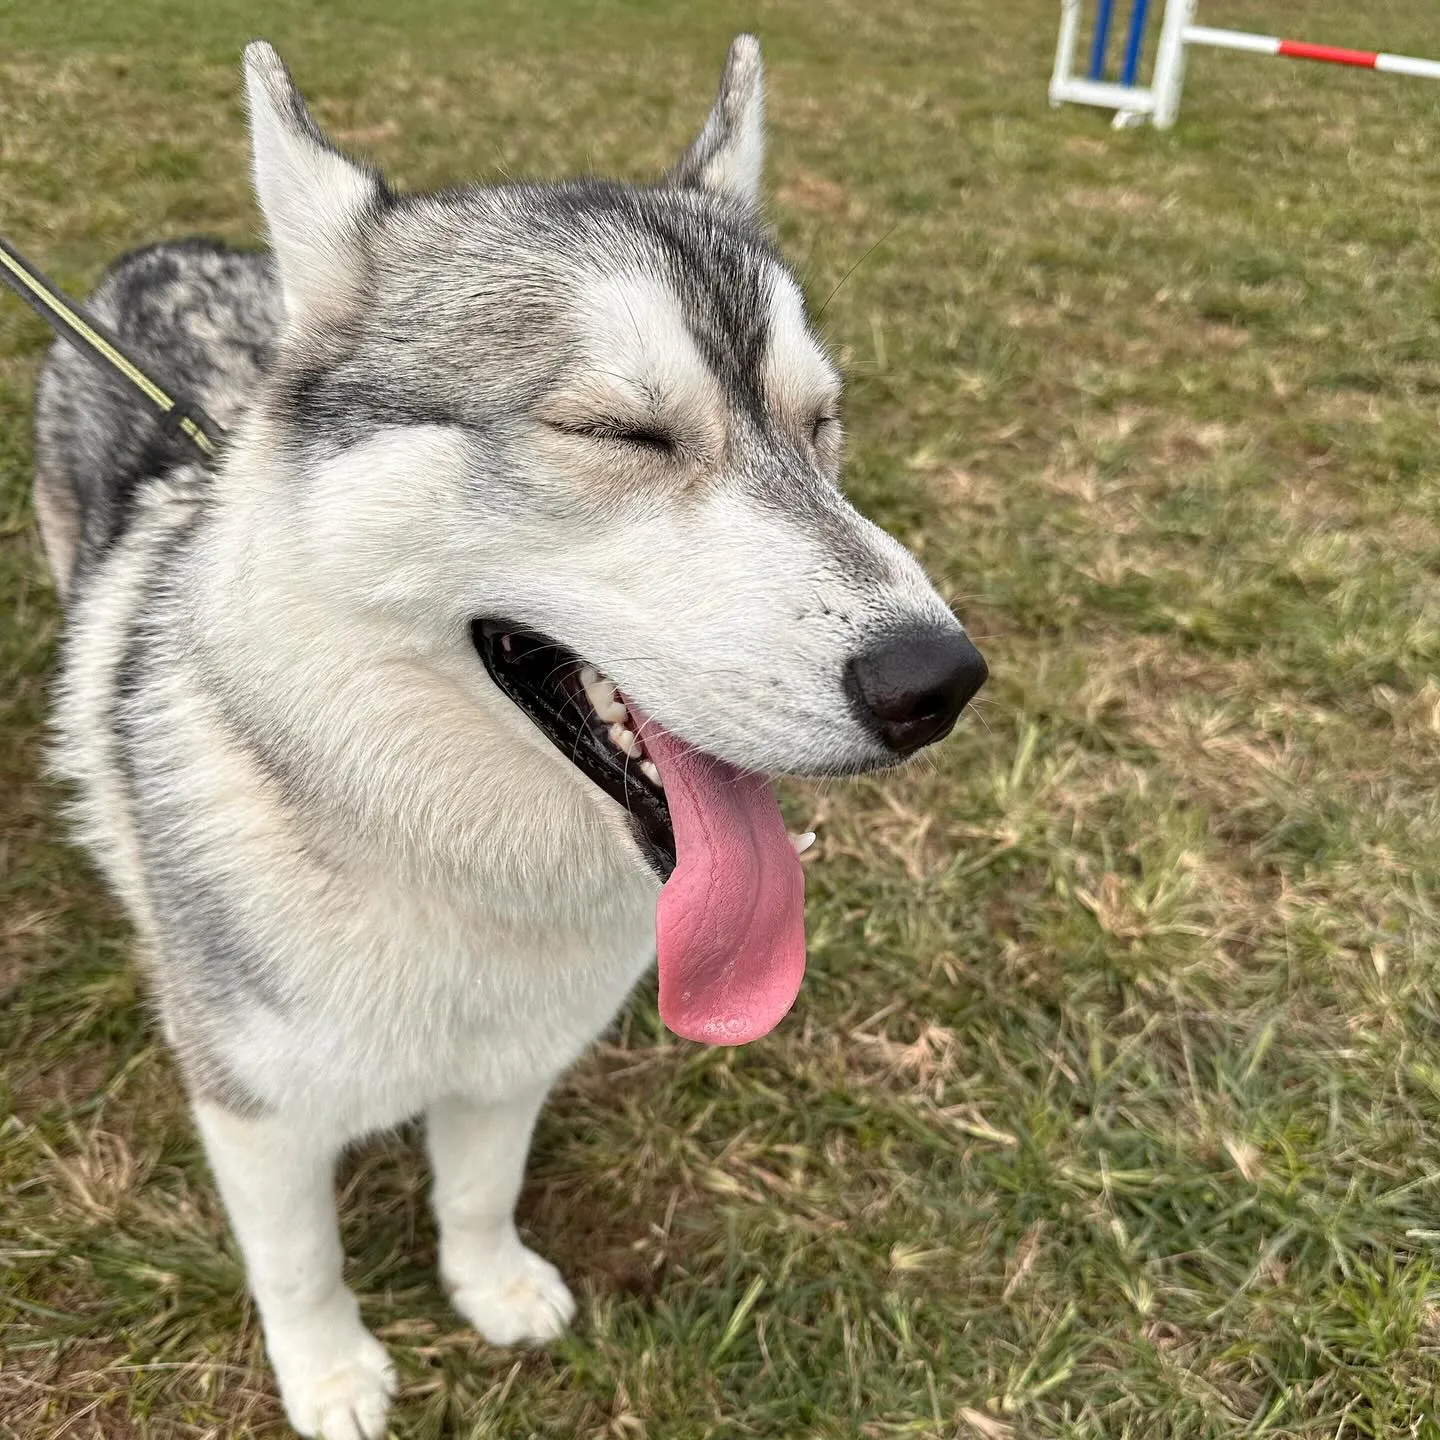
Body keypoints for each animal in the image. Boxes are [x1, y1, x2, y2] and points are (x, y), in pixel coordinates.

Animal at [33, 39, 984, 1440]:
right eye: (619, 433)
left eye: (821, 426)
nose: (941, 681)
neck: (450, 865)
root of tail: (170, 249)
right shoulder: (253, 1104)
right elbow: (299, 1260)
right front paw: (329, 1373)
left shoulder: (513, 1068)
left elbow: (479, 1192)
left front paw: (490, 1289)